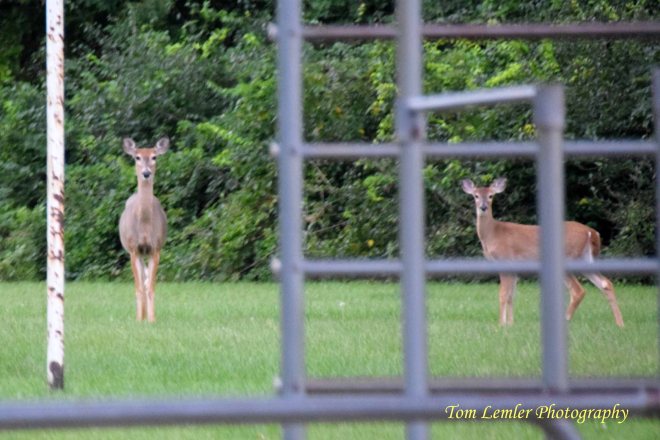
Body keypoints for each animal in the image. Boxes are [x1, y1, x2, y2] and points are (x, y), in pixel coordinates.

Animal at [119, 137, 169, 322]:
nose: (146, 173)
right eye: (137, 157)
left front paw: (152, 320)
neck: (145, 228)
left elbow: (150, 287)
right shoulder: (134, 249)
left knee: (147, 280)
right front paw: (139, 320)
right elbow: (139, 287)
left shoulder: (155, 249)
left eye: (154, 156)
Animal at [461, 177, 624, 328]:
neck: (492, 234)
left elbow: (503, 294)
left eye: (491, 196)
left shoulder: (504, 259)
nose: (483, 207)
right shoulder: (514, 268)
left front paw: (501, 324)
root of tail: (591, 232)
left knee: (578, 290)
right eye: (475, 195)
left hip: (568, 257)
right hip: (586, 259)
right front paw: (511, 323)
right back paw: (620, 323)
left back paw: (565, 319)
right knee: (606, 283)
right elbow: (511, 295)